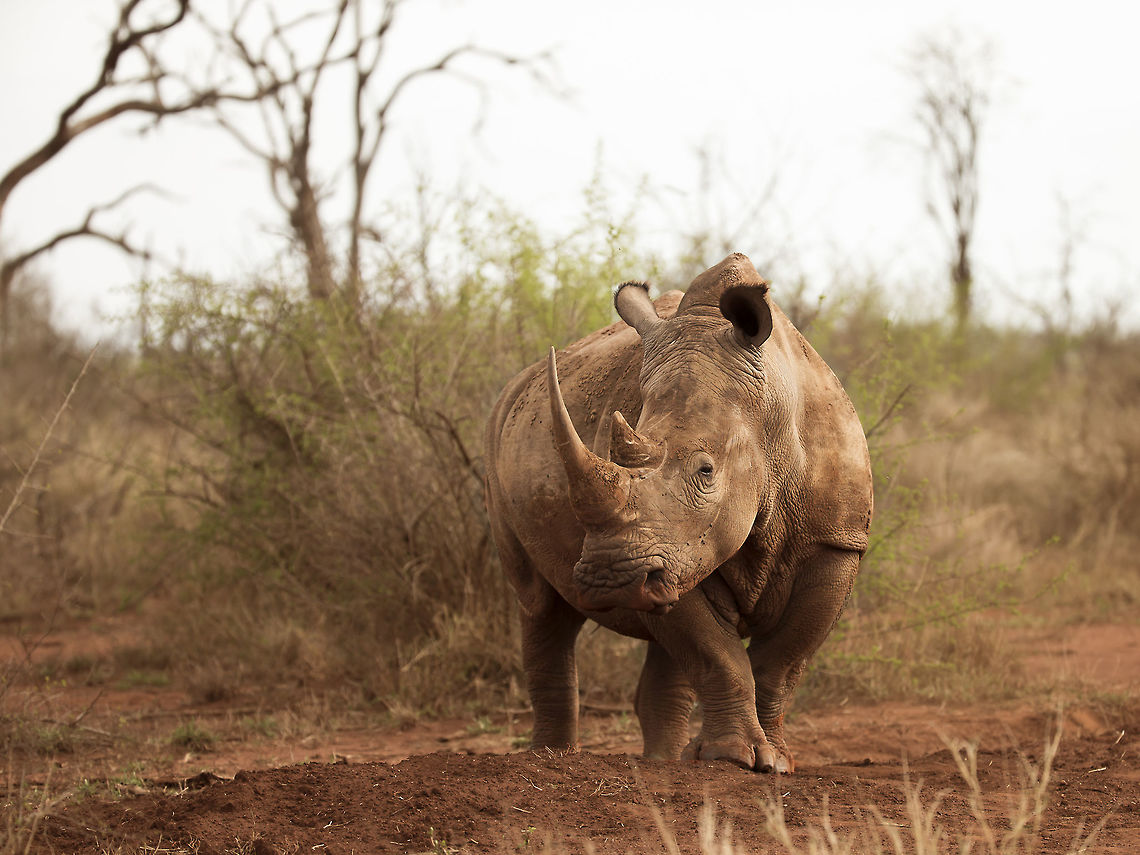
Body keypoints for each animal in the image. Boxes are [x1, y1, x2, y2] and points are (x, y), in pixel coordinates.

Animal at [483, 253, 872, 773]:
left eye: (706, 471)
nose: (609, 579)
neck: (769, 413)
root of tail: (516, 386)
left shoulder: (836, 540)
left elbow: (783, 661)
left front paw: (773, 763)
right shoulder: (666, 548)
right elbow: (718, 656)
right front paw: (733, 759)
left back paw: (663, 762)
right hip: (498, 433)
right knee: (540, 604)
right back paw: (553, 758)